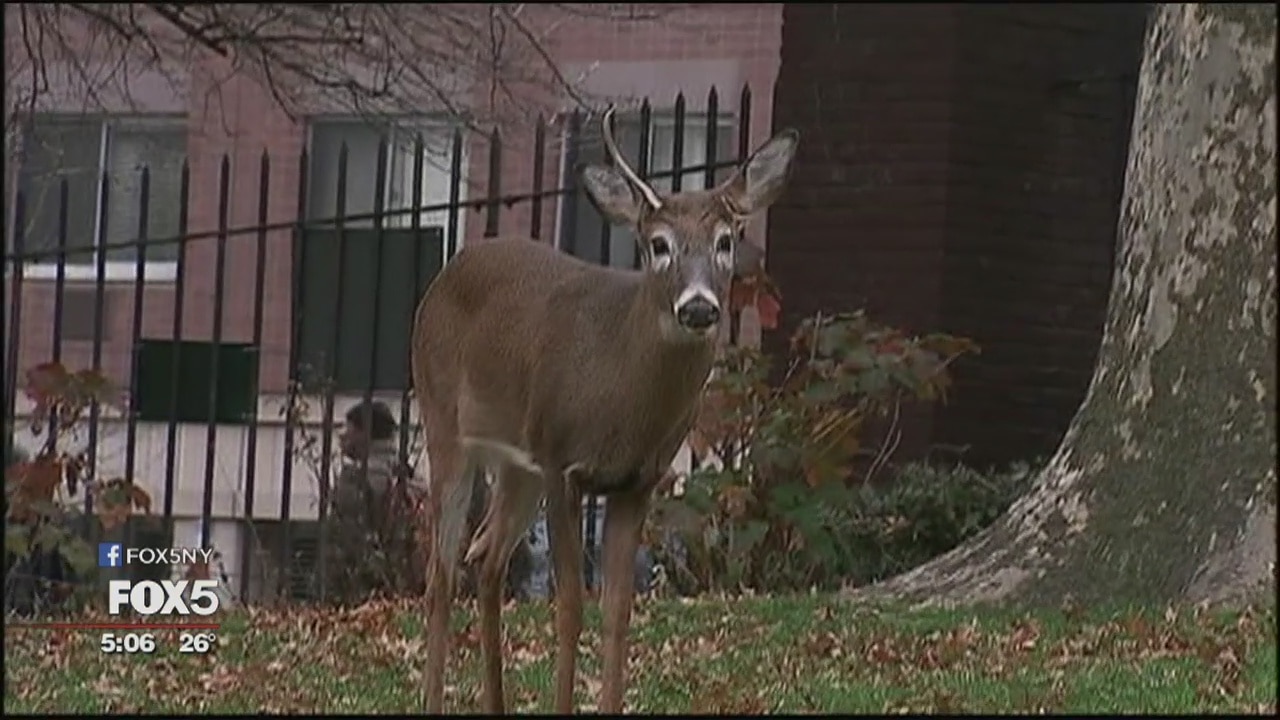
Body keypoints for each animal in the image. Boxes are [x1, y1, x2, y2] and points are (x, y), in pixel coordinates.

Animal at [411, 105, 799, 714]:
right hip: (445, 423)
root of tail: (446, 275)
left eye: (726, 241)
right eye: (658, 244)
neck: (622, 396)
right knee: (441, 573)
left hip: (518, 465)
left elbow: (618, 611)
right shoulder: (561, 462)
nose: (698, 307)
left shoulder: (635, 480)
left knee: (487, 557)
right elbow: (570, 605)